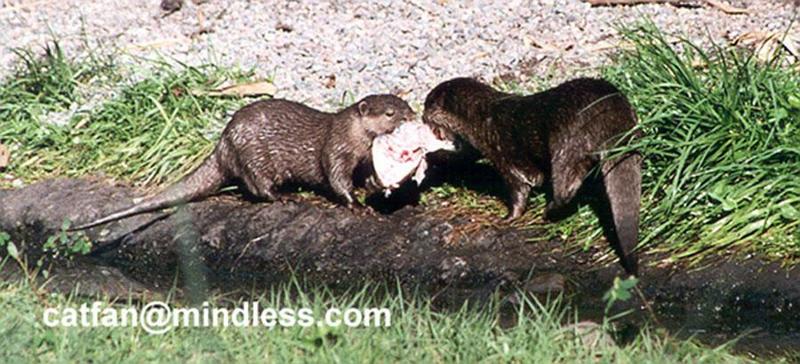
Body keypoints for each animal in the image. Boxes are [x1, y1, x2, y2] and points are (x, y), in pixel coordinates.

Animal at [72, 94, 416, 230]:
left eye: (404, 103)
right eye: (390, 113)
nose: (411, 115)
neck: (352, 137)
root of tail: (223, 143)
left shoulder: (361, 159)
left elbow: (364, 176)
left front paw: (374, 190)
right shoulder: (335, 150)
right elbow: (336, 179)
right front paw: (356, 205)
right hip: (253, 155)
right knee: (256, 184)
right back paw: (283, 196)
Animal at [424, 77, 644, 276]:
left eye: (428, 104)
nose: (422, 117)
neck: (483, 118)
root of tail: (609, 108)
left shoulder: (503, 155)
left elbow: (520, 188)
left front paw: (508, 217)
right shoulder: (474, 146)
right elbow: (461, 157)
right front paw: (432, 156)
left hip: (566, 142)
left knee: (566, 184)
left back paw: (548, 211)